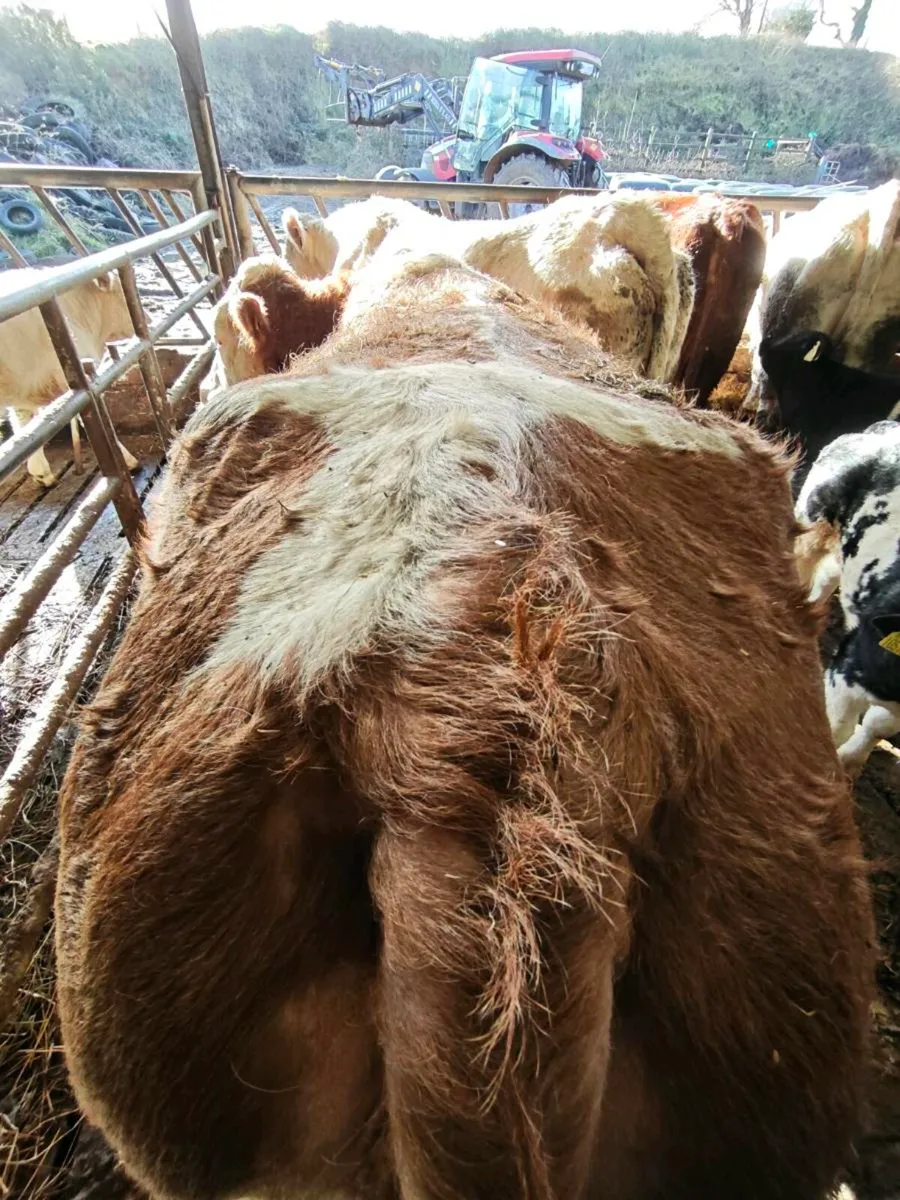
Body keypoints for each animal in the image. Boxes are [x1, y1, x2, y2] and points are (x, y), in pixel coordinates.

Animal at [0, 268, 138, 487]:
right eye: (122, 293)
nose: (148, 319)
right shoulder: (73, 375)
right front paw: (126, 460)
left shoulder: (23, 386)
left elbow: (25, 425)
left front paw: (41, 472)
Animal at [795, 419, 900, 771]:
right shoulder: (851, 667)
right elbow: (837, 727)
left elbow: (879, 724)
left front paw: (852, 758)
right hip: (811, 522)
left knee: (824, 581)